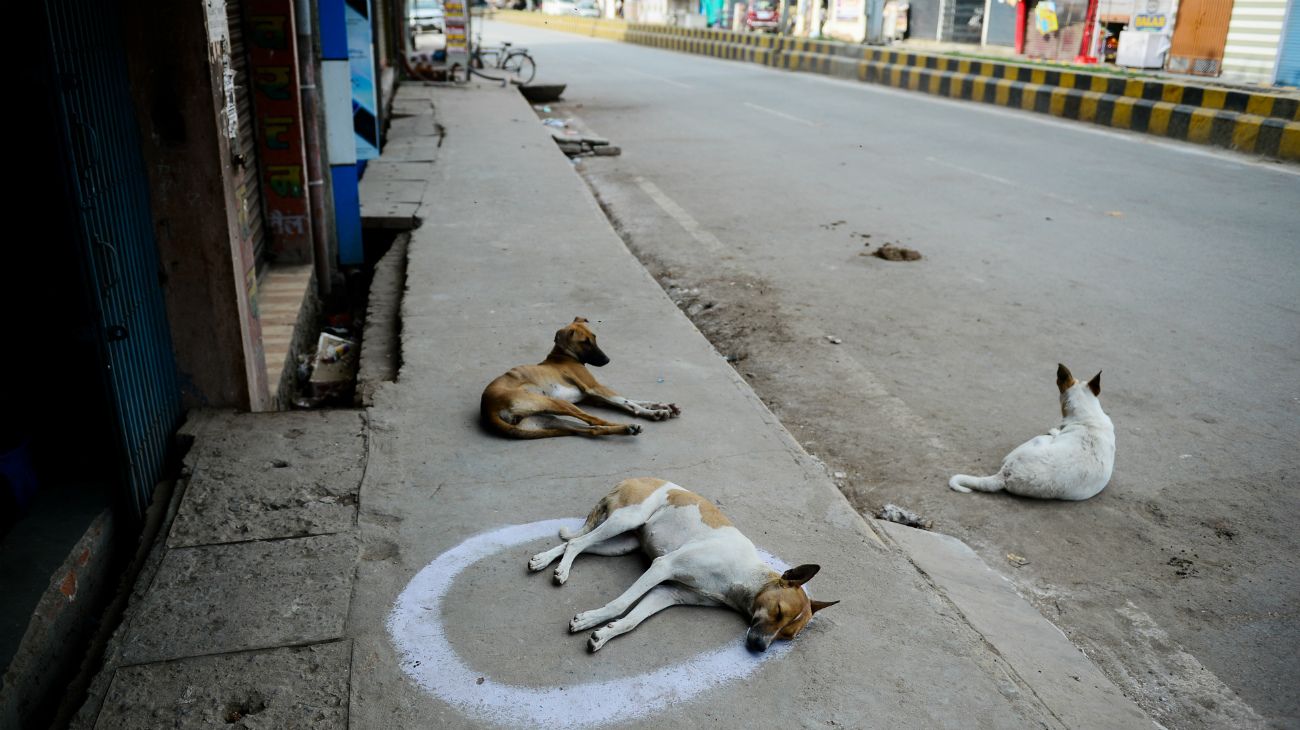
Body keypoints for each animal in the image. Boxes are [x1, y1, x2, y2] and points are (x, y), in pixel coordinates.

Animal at [480, 315, 681, 433]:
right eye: (585, 342)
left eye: (594, 337)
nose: (607, 360)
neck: (563, 355)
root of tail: (488, 408)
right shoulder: (595, 388)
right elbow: (628, 402)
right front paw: (652, 412)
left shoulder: (594, 397)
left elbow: (633, 399)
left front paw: (662, 406)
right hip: (557, 403)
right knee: (594, 420)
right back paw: (628, 427)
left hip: (547, 419)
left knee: (592, 429)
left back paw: (626, 428)